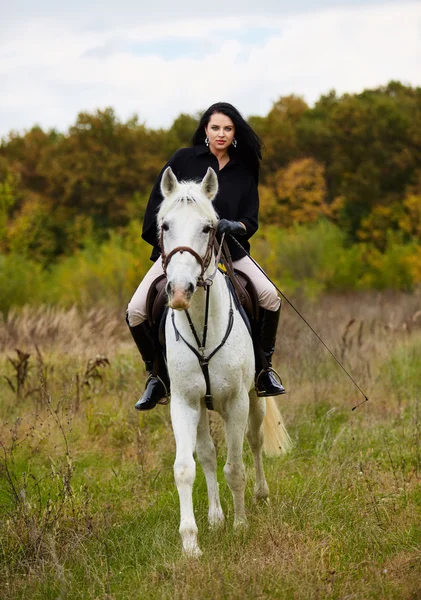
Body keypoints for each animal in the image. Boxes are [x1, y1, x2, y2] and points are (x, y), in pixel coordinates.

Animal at [156, 166, 290, 556]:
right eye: (165, 225)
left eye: (209, 227)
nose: (180, 291)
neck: (202, 327)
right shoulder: (185, 403)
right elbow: (186, 467)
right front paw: (191, 543)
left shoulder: (235, 402)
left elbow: (235, 467)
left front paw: (241, 526)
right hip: (203, 406)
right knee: (206, 454)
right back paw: (215, 518)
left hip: (255, 398)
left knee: (255, 441)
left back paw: (260, 496)